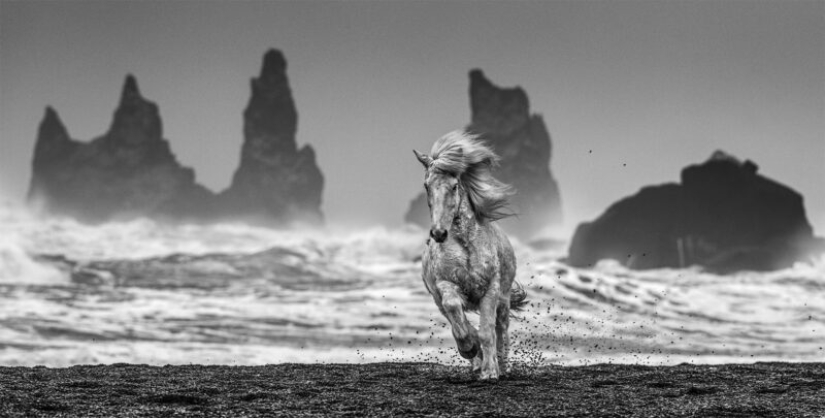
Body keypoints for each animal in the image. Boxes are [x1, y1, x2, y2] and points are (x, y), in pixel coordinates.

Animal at [416, 131, 524, 382]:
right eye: (427, 185)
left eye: (455, 186)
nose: (439, 233)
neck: (466, 245)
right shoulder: (445, 285)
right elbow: (458, 316)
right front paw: (470, 348)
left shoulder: (490, 289)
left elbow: (487, 332)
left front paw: (490, 371)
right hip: (439, 301)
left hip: (504, 299)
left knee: (501, 329)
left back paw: (502, 365)